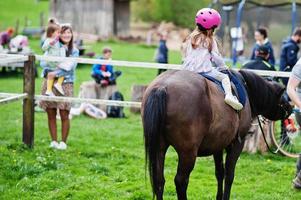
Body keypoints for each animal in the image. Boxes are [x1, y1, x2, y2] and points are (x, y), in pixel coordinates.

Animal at [142, 69, 292, 199]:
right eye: (283, 98)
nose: (291, 109)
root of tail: (162, 87)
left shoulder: (217, 145)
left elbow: (219, 173)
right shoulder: (237, 144)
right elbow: (229, 175)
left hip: (159, 148)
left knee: (159, 180)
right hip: (188, 152)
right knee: (181, 181)